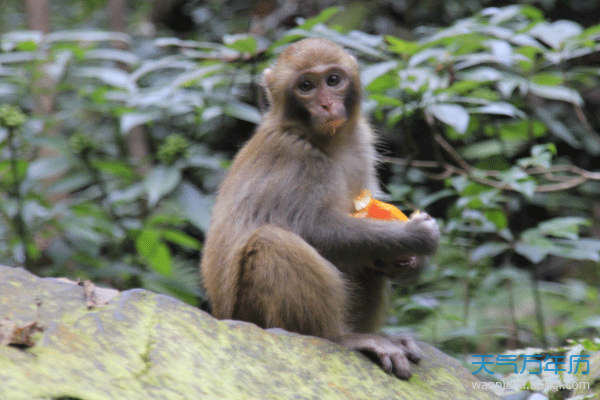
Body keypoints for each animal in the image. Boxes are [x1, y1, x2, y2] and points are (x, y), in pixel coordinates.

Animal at [199, 37, 438, 378]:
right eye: (306, 86)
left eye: (333, 80)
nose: (326, 105)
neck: (325, 141)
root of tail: (222, 316)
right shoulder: (295, 157)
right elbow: (314, 231)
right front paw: (415, 236)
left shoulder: (360, 142)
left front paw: (411, 263)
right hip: (253, 316)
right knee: (273, 242)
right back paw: (342, 338)